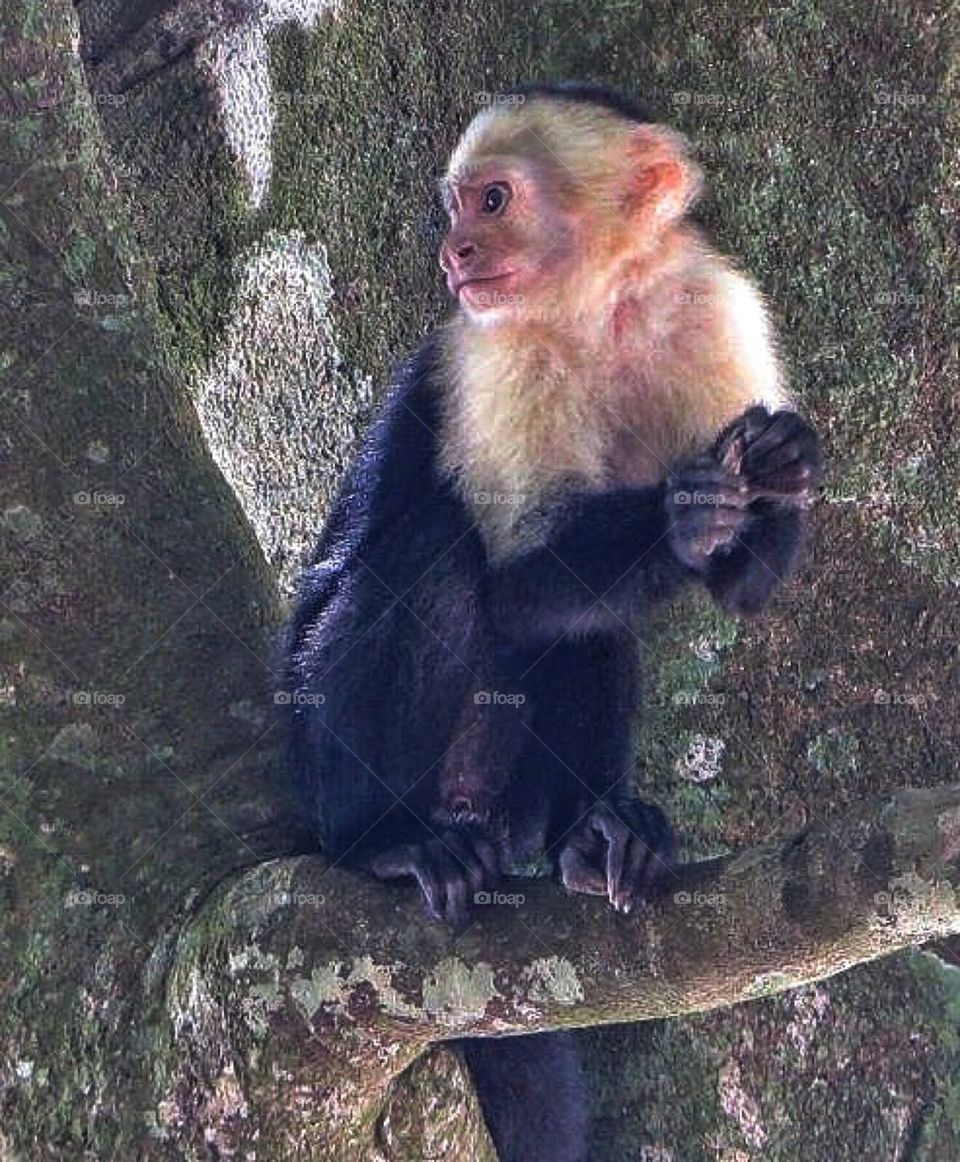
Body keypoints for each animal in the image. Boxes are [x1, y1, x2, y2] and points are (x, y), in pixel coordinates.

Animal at [285, 82, 822, 1161]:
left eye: (492, 202)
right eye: (460, 206)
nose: (455, 254)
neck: (598, 307)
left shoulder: (712, 306)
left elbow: (730, 590)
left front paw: (775, 476)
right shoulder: (496, 350)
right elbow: (517, 584)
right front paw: (683, 513)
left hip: (512, 796)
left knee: (590, 632)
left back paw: (595, 835)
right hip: (311, 753)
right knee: (436, 559)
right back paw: (382, 842)